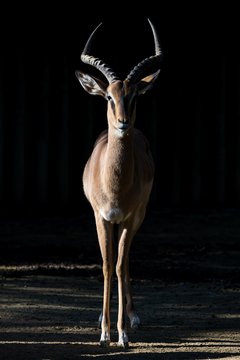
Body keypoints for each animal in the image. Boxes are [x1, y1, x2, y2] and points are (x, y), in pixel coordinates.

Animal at [75, 18, 161, 348]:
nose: (123, 123)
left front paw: (122, 333)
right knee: (112, 264)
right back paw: (103, 317)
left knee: (125, 262)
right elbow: (106, 265)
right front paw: (104, 332)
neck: (114, 185)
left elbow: (121, 265)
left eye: (134, 96)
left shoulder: (128, 218)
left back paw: (133, 318)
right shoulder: (100, 217)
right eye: (109, 96)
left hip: (137, 218)